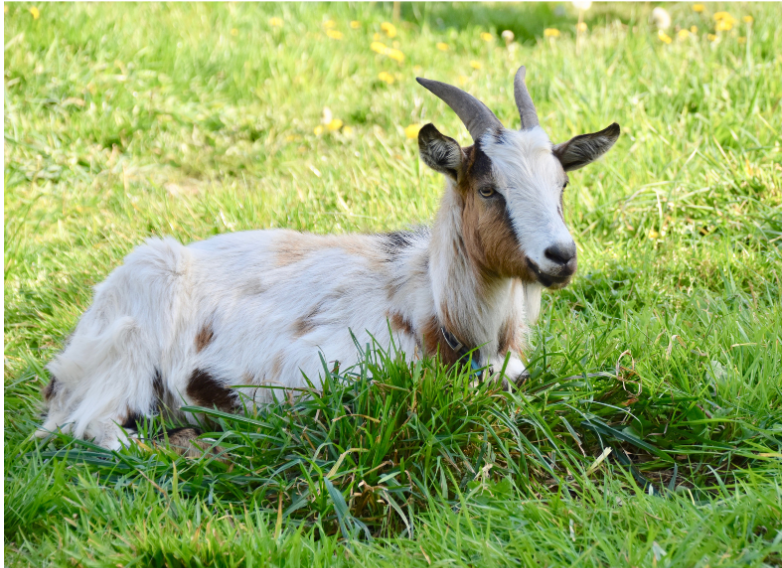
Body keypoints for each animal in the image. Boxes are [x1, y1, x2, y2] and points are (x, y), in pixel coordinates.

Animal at [39, 65, 620, 452]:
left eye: (562, 184)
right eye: (488, 189)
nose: (561, 256)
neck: (441, 312)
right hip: (130, 350)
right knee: (94, 426)